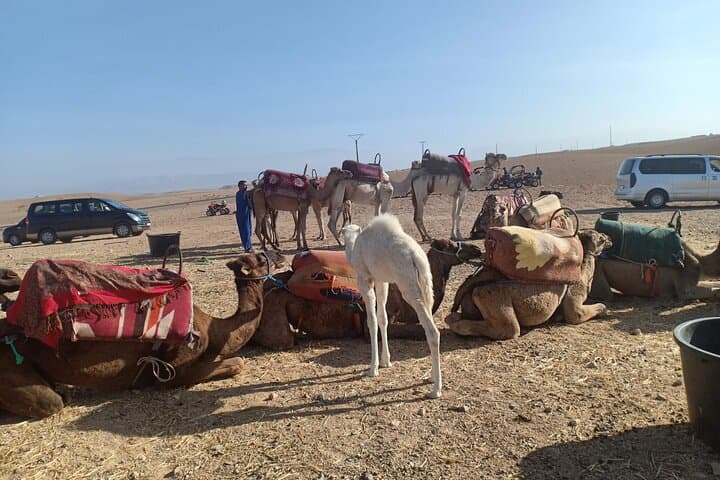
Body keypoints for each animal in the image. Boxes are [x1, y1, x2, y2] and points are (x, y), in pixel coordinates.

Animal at [0, 252, 286, 419]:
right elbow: (237, 363)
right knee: (52, 402)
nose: (279, 254)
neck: (213, 328)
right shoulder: (172, 369)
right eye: (260, 258)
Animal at [342, 214, 442, 399]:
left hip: (407, 284)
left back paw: (436, 389)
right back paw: (432, 377)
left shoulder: (365, 279)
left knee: (432, 331)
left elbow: (372, 321)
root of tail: (416, 257)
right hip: (425, 282)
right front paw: (386, 361)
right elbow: (383, 318)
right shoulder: (381, 280)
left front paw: (373, 368)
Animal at [446, 230, 611, 340]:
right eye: (601, 239)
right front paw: (605, 310)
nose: (610, 238)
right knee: (509, 329)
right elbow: (577, 313)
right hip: (493, 296)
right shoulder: (575, 294)